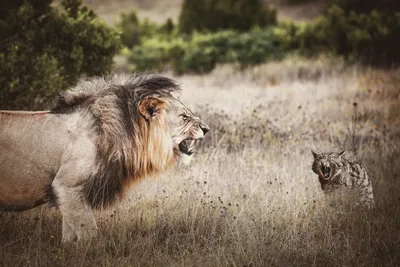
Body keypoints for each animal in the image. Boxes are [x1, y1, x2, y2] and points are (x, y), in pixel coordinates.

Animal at [0, 73, 209, 243]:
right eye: (184, 117)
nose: (206, 129)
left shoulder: (70, 194)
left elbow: (70, 235)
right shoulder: (67, 186)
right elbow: (89, 233)